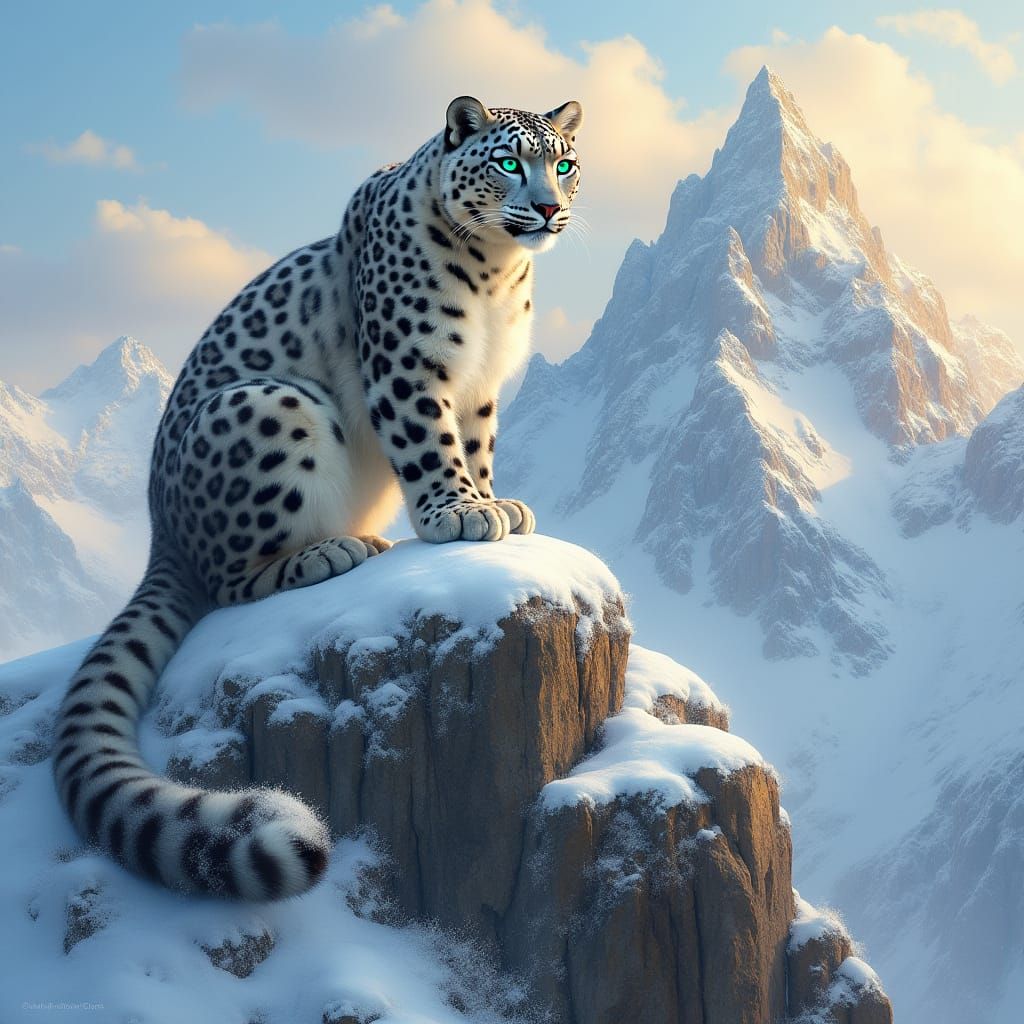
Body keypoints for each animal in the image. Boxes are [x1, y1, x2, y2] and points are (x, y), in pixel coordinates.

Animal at [51, 96, 583, 900]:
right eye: (509, 161)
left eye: (566, 162)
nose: (549, 207)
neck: (499, 273)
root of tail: (159, 528)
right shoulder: (409, 363)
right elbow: (430, 443)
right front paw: (458, 512)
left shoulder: (482, 386)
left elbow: (476, 444)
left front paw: (497, 502)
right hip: (274, 406)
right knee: (228, 581)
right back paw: (336, 550)